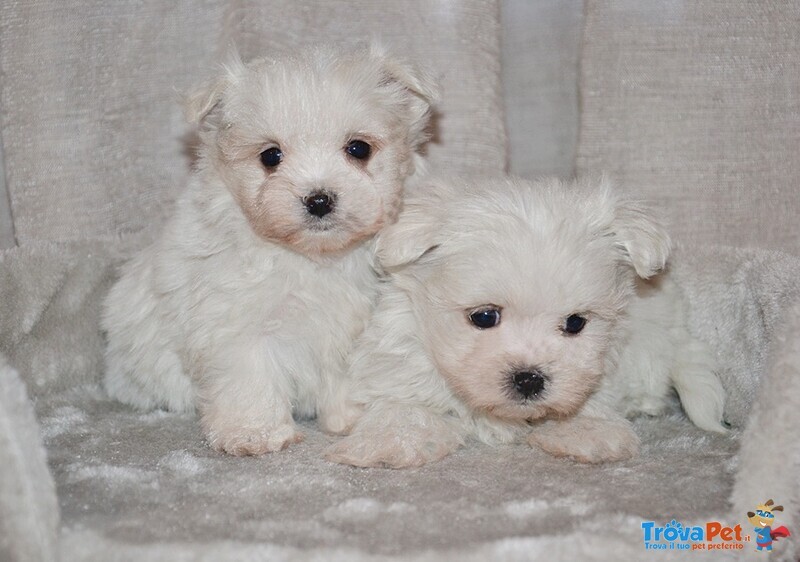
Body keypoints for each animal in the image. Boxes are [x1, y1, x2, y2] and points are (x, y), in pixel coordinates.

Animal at [102, 43, 438, 456]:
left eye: (358, 149)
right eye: (270, 156)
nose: (319, 199)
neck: (312, 257)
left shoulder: (354, 323)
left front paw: (349, 418)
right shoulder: (236, 321)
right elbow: (250, 372)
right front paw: (253, 433)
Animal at [328, 174, 728, 464]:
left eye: (576, 323)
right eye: (484, 317)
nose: (529, 379)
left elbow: (591, 394)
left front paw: (588, 431)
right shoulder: (400, 353)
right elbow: (404, 404)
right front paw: (387, 440)